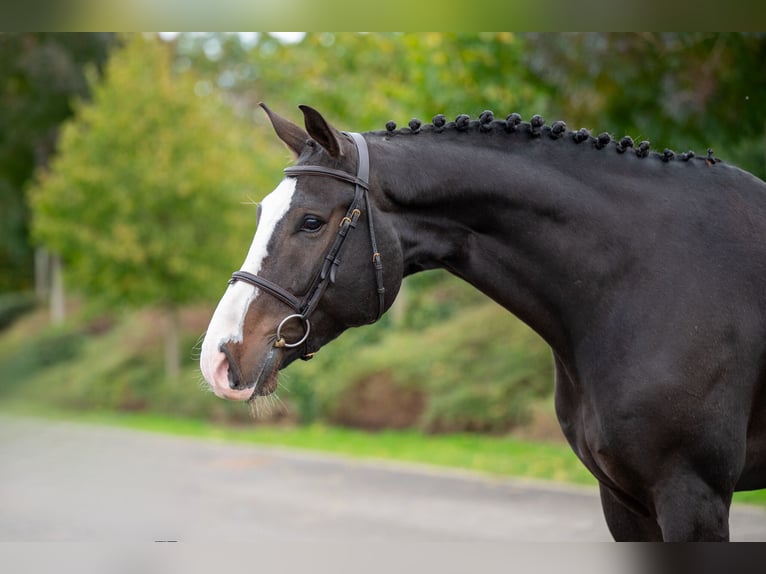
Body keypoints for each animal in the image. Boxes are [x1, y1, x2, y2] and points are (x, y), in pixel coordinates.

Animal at [201, 104, 766, 544]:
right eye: (261, 215)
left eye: (312, 222)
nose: (218, 358)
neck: (645, 277)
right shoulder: (624, 500)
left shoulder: (691, 495)